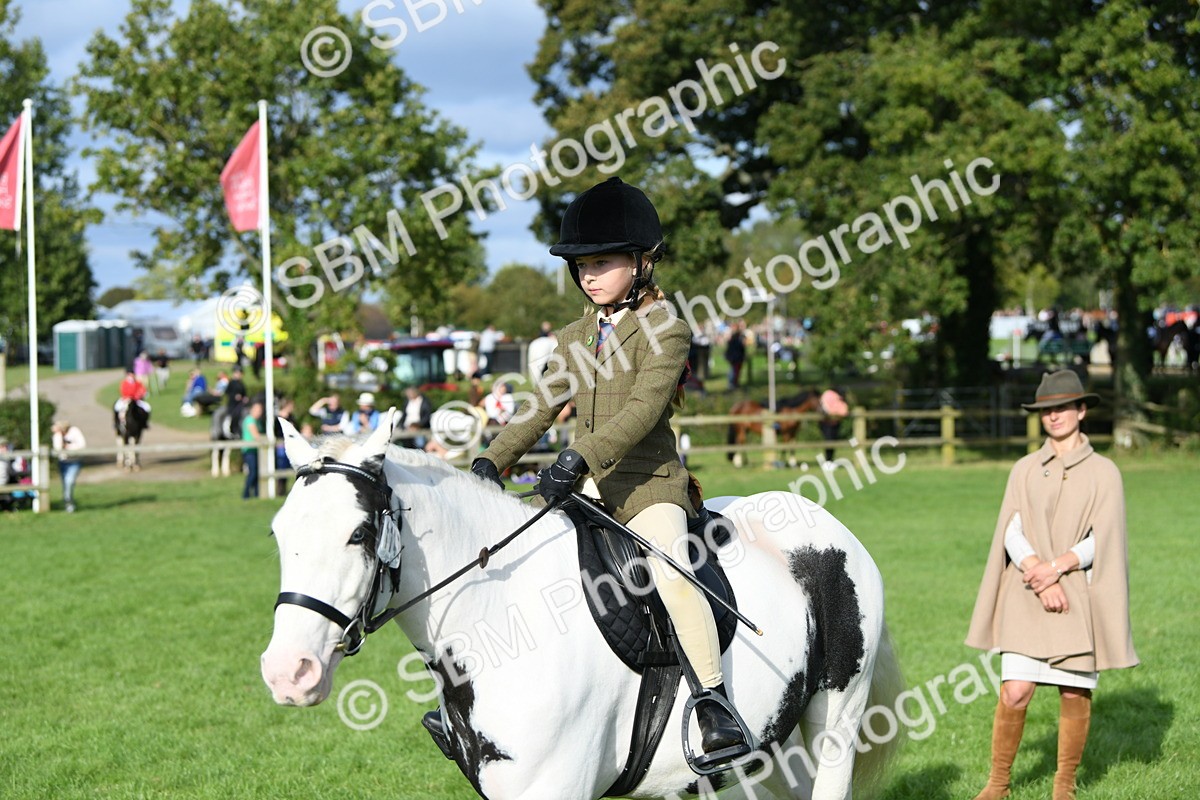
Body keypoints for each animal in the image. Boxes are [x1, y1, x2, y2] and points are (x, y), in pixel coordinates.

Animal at [261, 410, 902, 800]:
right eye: (277, 532)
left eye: (359, 534)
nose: (288, 673)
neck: (500, 618)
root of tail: (829, 525)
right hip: (772, 750)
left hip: (835, 722)